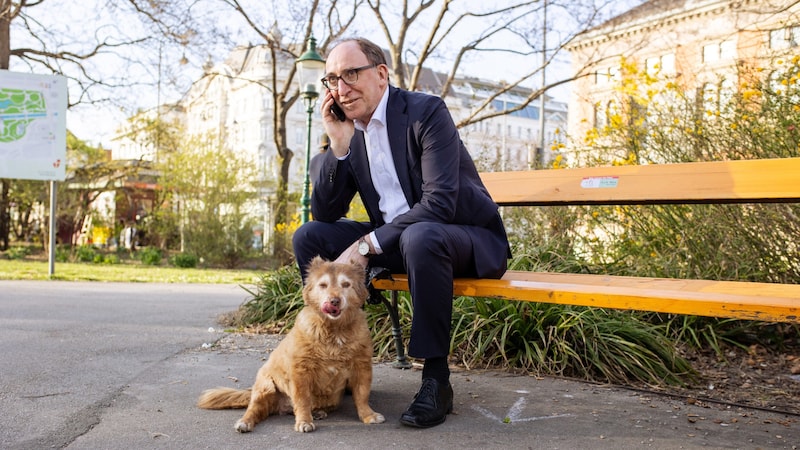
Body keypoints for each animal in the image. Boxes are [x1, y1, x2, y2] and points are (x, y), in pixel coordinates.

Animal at [197, 256, 384, 432]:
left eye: (346, 284)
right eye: (323, 285)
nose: (334, 301)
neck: (334, 330)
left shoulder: (362, 367)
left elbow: (362, 396)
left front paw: (368, 415)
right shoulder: (300, 371)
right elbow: (303, 400)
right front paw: (304, 421)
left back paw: (318, 412)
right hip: (265, 387)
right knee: (254, 409)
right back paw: (245, 422)